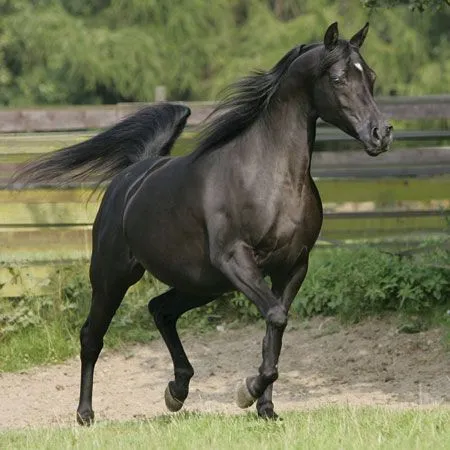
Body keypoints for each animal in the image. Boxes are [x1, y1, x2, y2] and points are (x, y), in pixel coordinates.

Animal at [13, 22, 390, 422]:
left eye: (371, 77)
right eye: (338, 78)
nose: (381, 133)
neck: (270, 177)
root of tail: (133, 175)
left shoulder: (292, 266)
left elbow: (275, 330)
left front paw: (266, 408)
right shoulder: (236, 258)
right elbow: (275, 318)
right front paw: (247, 392)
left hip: (203, 284)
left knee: (160, 310)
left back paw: (176, 391)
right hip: (112, 277)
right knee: (91, 337)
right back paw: (86, 414)